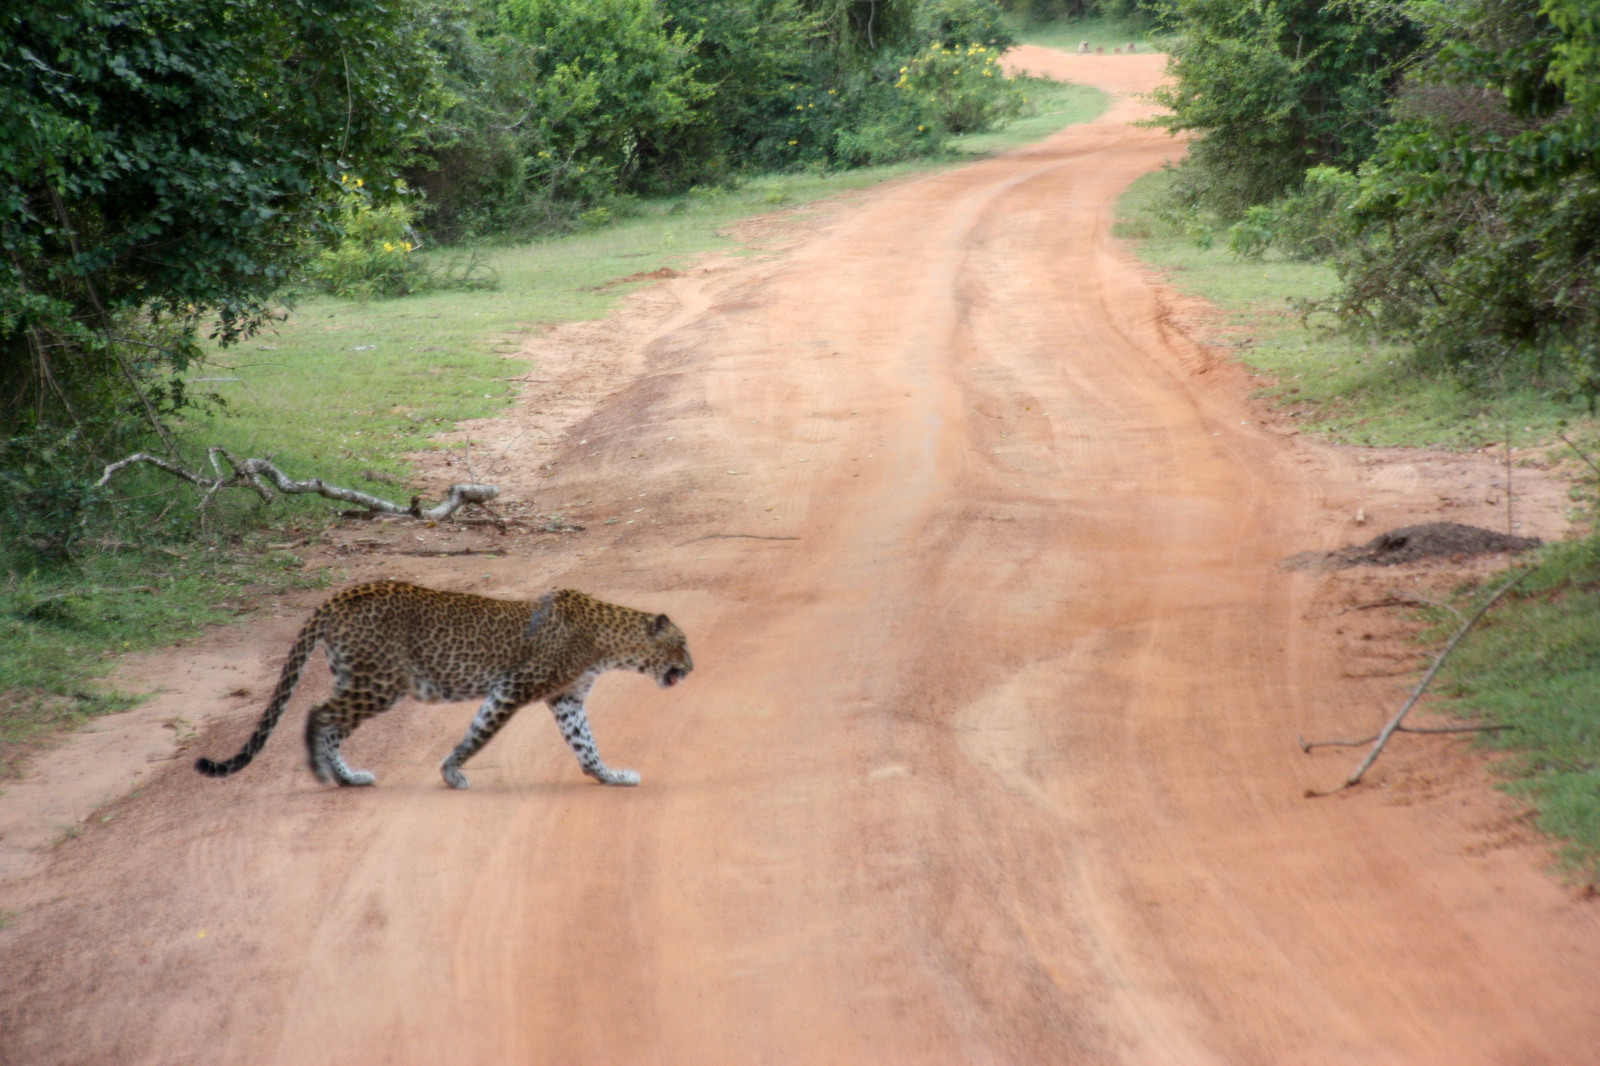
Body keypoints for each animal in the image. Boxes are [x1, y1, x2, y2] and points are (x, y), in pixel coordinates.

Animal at [190, 576, 691, 784]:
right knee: (318, 714)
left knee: (331, 725)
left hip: (357, 677)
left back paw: (349, 778)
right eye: (683, 644)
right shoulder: (513, 687)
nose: (692, 667)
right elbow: (479, 734)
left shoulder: (566, 699)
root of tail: (343, 594)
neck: (609, 642)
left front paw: (608, 776)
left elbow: (584, 743)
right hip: (380, 683)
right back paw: (322, 772)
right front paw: (452, 772)